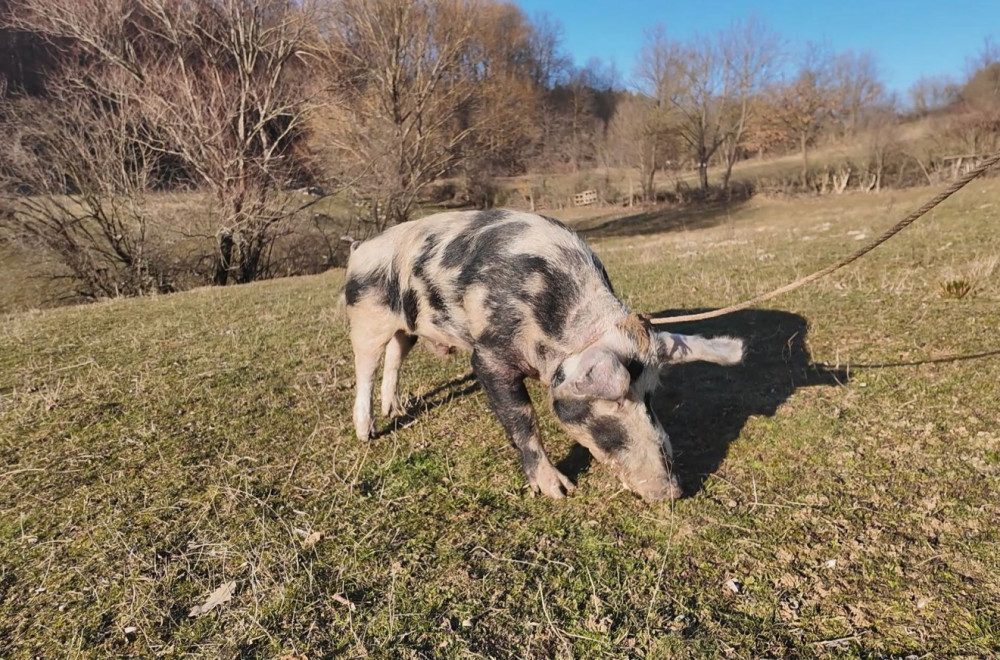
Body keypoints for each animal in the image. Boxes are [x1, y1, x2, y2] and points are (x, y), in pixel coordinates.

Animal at [344, 210, 744, 500]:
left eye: (650, 397)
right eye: (614, 404)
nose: (674, 493)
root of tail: (361, 248)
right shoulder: (489, 357)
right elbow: (523, 420)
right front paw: (559, 491)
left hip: (405, 328)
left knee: (395, 356)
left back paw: (395, 410)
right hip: (365, 318)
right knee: (366, 368)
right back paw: (367, 433)